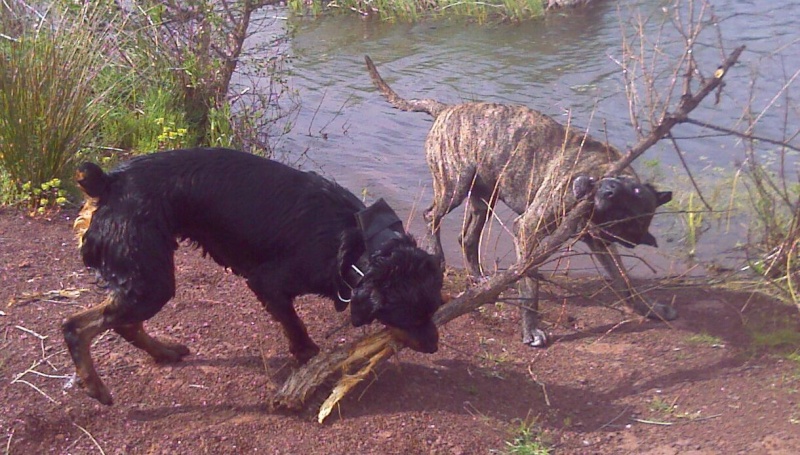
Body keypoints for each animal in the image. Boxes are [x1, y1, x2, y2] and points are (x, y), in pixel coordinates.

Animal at [62, 149, 444, 406]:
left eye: (435, 307)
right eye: (409, 315)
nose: (434, 346)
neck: (358, 243)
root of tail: (109, 182)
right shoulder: (268, 283)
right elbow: (295, 326)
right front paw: (308, 356)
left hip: (145, 275)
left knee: (124, 322)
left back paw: (164, 351)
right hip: (151, 279)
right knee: (76, 326)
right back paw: (95, 385)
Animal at [366, 55, 680, 348]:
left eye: (628, 205)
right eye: (630, 190)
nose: (608, 190)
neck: (598, 167)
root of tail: (445, 109)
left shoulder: (601, 244)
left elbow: (624, 280)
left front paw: (648, 309)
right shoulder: (528, 228)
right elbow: (530, 287)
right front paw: (532, 329)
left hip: (482, 200)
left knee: (468, 238)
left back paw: (478, 279)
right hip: (453, 187)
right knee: (431, 217)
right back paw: (438, 256)